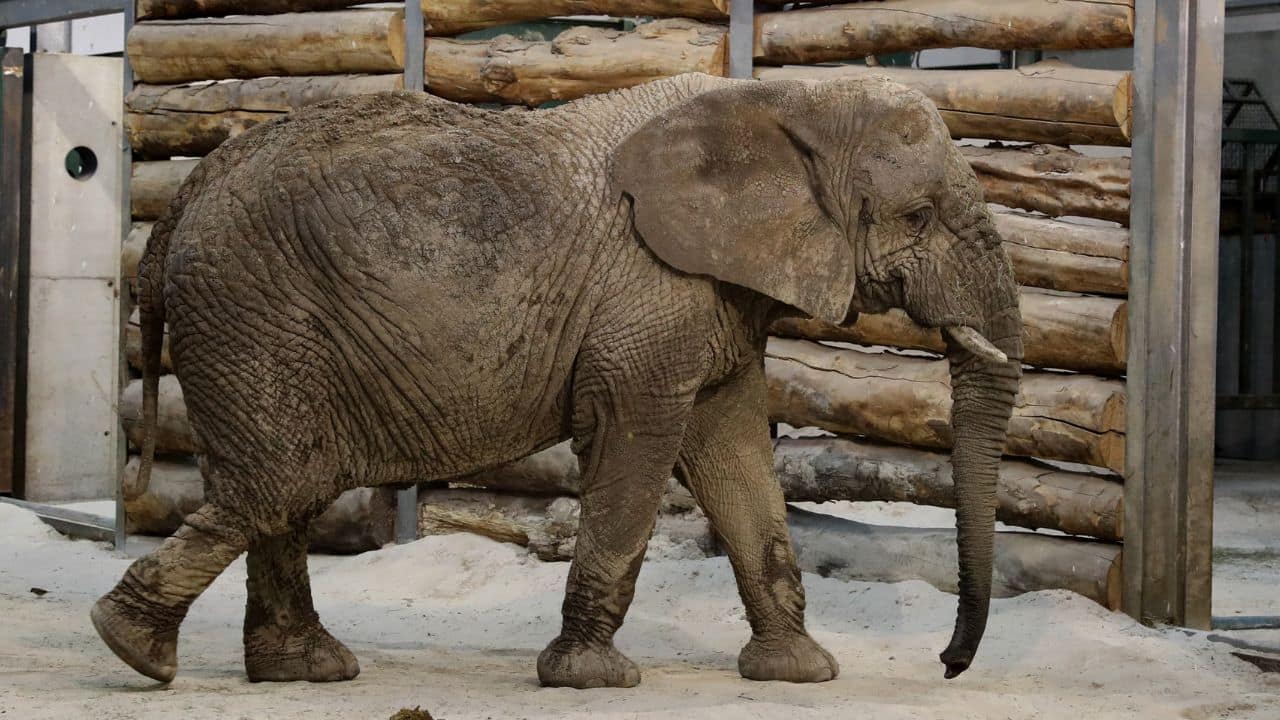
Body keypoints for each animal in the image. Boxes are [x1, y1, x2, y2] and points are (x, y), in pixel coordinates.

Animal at [92, 72, 1022, 688]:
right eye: (917, 217)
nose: (947, 664)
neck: (785, 102)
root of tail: (179, 203)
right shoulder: (650, 293)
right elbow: (637, 440)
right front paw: (593, 679)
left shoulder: (714, 295)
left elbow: (733, 452)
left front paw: (799, 672)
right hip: (253, 313)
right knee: (286, 479)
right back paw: (132, 649)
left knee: (278, 486)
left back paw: (302, 670)